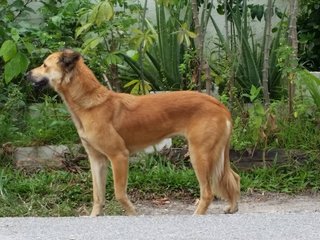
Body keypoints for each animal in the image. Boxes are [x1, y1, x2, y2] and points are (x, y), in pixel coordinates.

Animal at [27, 48, 240, 216]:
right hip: (215, 155)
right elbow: (98, 196)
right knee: (234, 178)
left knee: (208, 193)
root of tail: (219, 105)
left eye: (44, 65)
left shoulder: (119, 156)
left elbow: (119, 194)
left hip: (199, 155)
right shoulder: (97, 160)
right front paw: (94, 217)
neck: (89, 104)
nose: (26, 74)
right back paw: (232, 207)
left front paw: (132, 214)